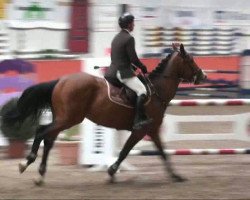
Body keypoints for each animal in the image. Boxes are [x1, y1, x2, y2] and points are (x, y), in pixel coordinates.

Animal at [2, 43, 206, 184]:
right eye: (190, 60)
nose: (203, 76)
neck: (156, 90)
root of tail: (60, 81)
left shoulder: (152, 130)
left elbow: (163, 153)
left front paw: (176, 176)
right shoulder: (140, 130)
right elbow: (125, 151)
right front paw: (111, 171)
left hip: (63, 119)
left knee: (48, 139)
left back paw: (40, 175)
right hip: (68, 119)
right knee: (42, 132)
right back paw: (27, 163)